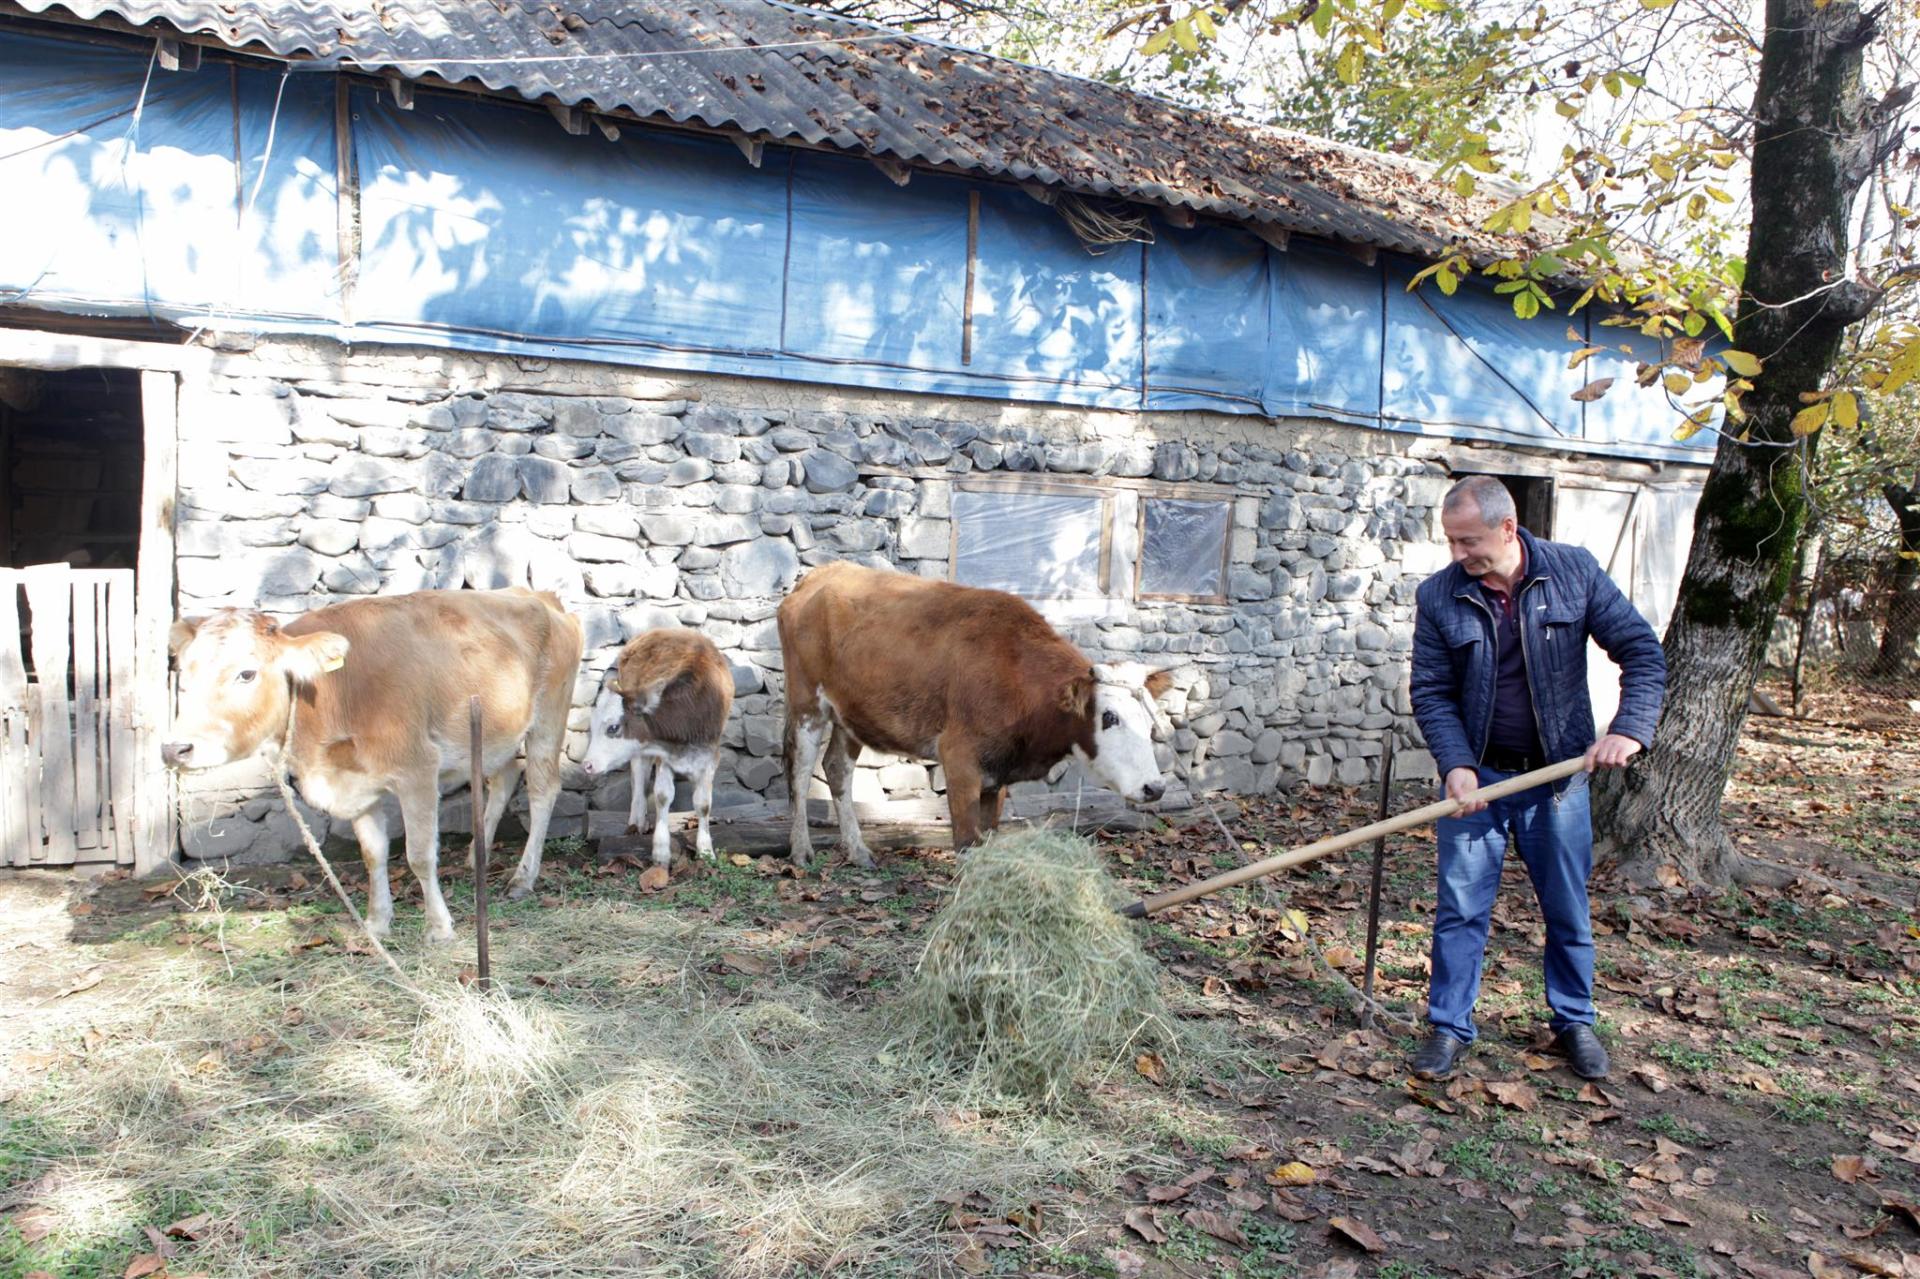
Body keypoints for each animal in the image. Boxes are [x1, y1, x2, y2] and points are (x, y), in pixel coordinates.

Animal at [163, 583, 583, 937]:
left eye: (247, 674)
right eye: (184, 673)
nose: (174, 749)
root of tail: (539, 595)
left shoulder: (418, 770)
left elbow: (419, 856)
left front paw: (439, 928)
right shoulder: (356, 783)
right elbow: (372, 854)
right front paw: (377, 922)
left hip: (548, 718)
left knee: (543, 791)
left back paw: (523, 878)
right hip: (494, 733)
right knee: (505, 777)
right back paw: (474, 855)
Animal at [572, 626, 729, 868]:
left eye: (613, 727)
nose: (587, 765)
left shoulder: (710, 757)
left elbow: (703, 804)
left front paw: (705, 851)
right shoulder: (662, 756)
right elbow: (663, 796)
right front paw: (661, 853)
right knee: (638, 775)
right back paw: (636, 821)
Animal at [775, 560, 1167, 868]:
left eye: (1149, 722)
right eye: (1110, 717)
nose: (1156, 787)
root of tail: (823, 573)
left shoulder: (998, 772)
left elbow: (987, 835)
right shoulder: (959, 759)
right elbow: (967, 842)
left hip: (850, 715)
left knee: (837, 768)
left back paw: (857, 851)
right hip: (807, 704)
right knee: (800, 771)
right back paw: (801, 851)